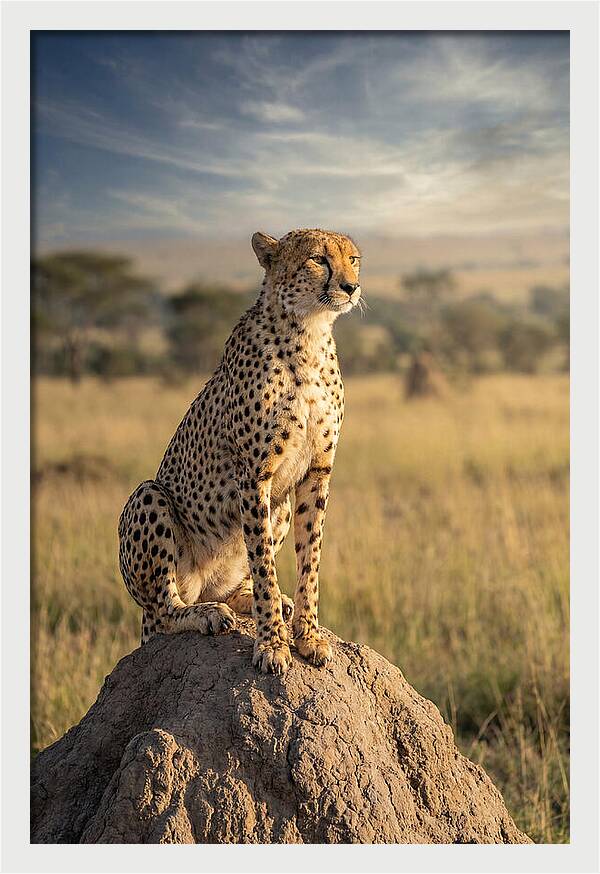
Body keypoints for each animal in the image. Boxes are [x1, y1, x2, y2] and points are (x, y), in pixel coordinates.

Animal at [118, 228, 362, 674]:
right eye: (318, 259)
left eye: (353, 259)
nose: (351, 287)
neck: (309, 333)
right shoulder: (254, 474)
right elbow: (264, 562)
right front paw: (272, 644)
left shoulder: (317, 472)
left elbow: (310, 560)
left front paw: (308, 635)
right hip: (149, 498)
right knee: (164, 610)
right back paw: (207, 614)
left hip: (280, 506)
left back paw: (253, 601)